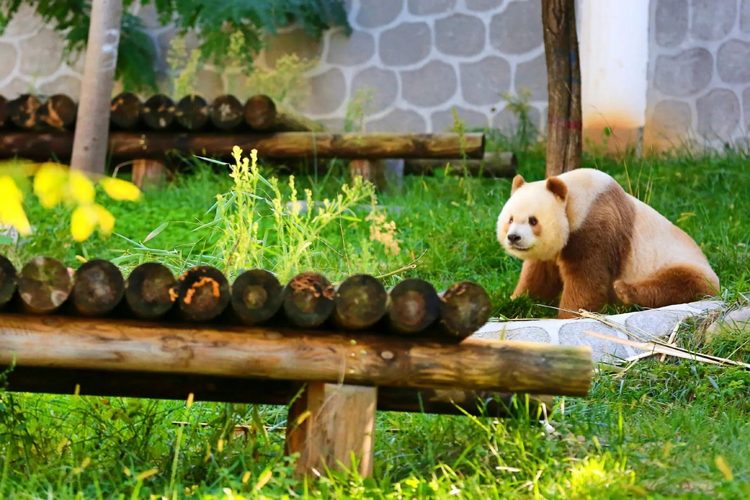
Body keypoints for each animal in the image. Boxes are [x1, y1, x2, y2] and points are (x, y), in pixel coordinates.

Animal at [496, 169, 720, 320]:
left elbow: (588, 279)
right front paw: (515, 301)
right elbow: (540, 277)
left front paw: (567, 315)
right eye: (510, 219)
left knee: (678, 284)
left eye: (533, 220)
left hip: (682, 263)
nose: (514, 237)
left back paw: (626, 292)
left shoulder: (595, 225)